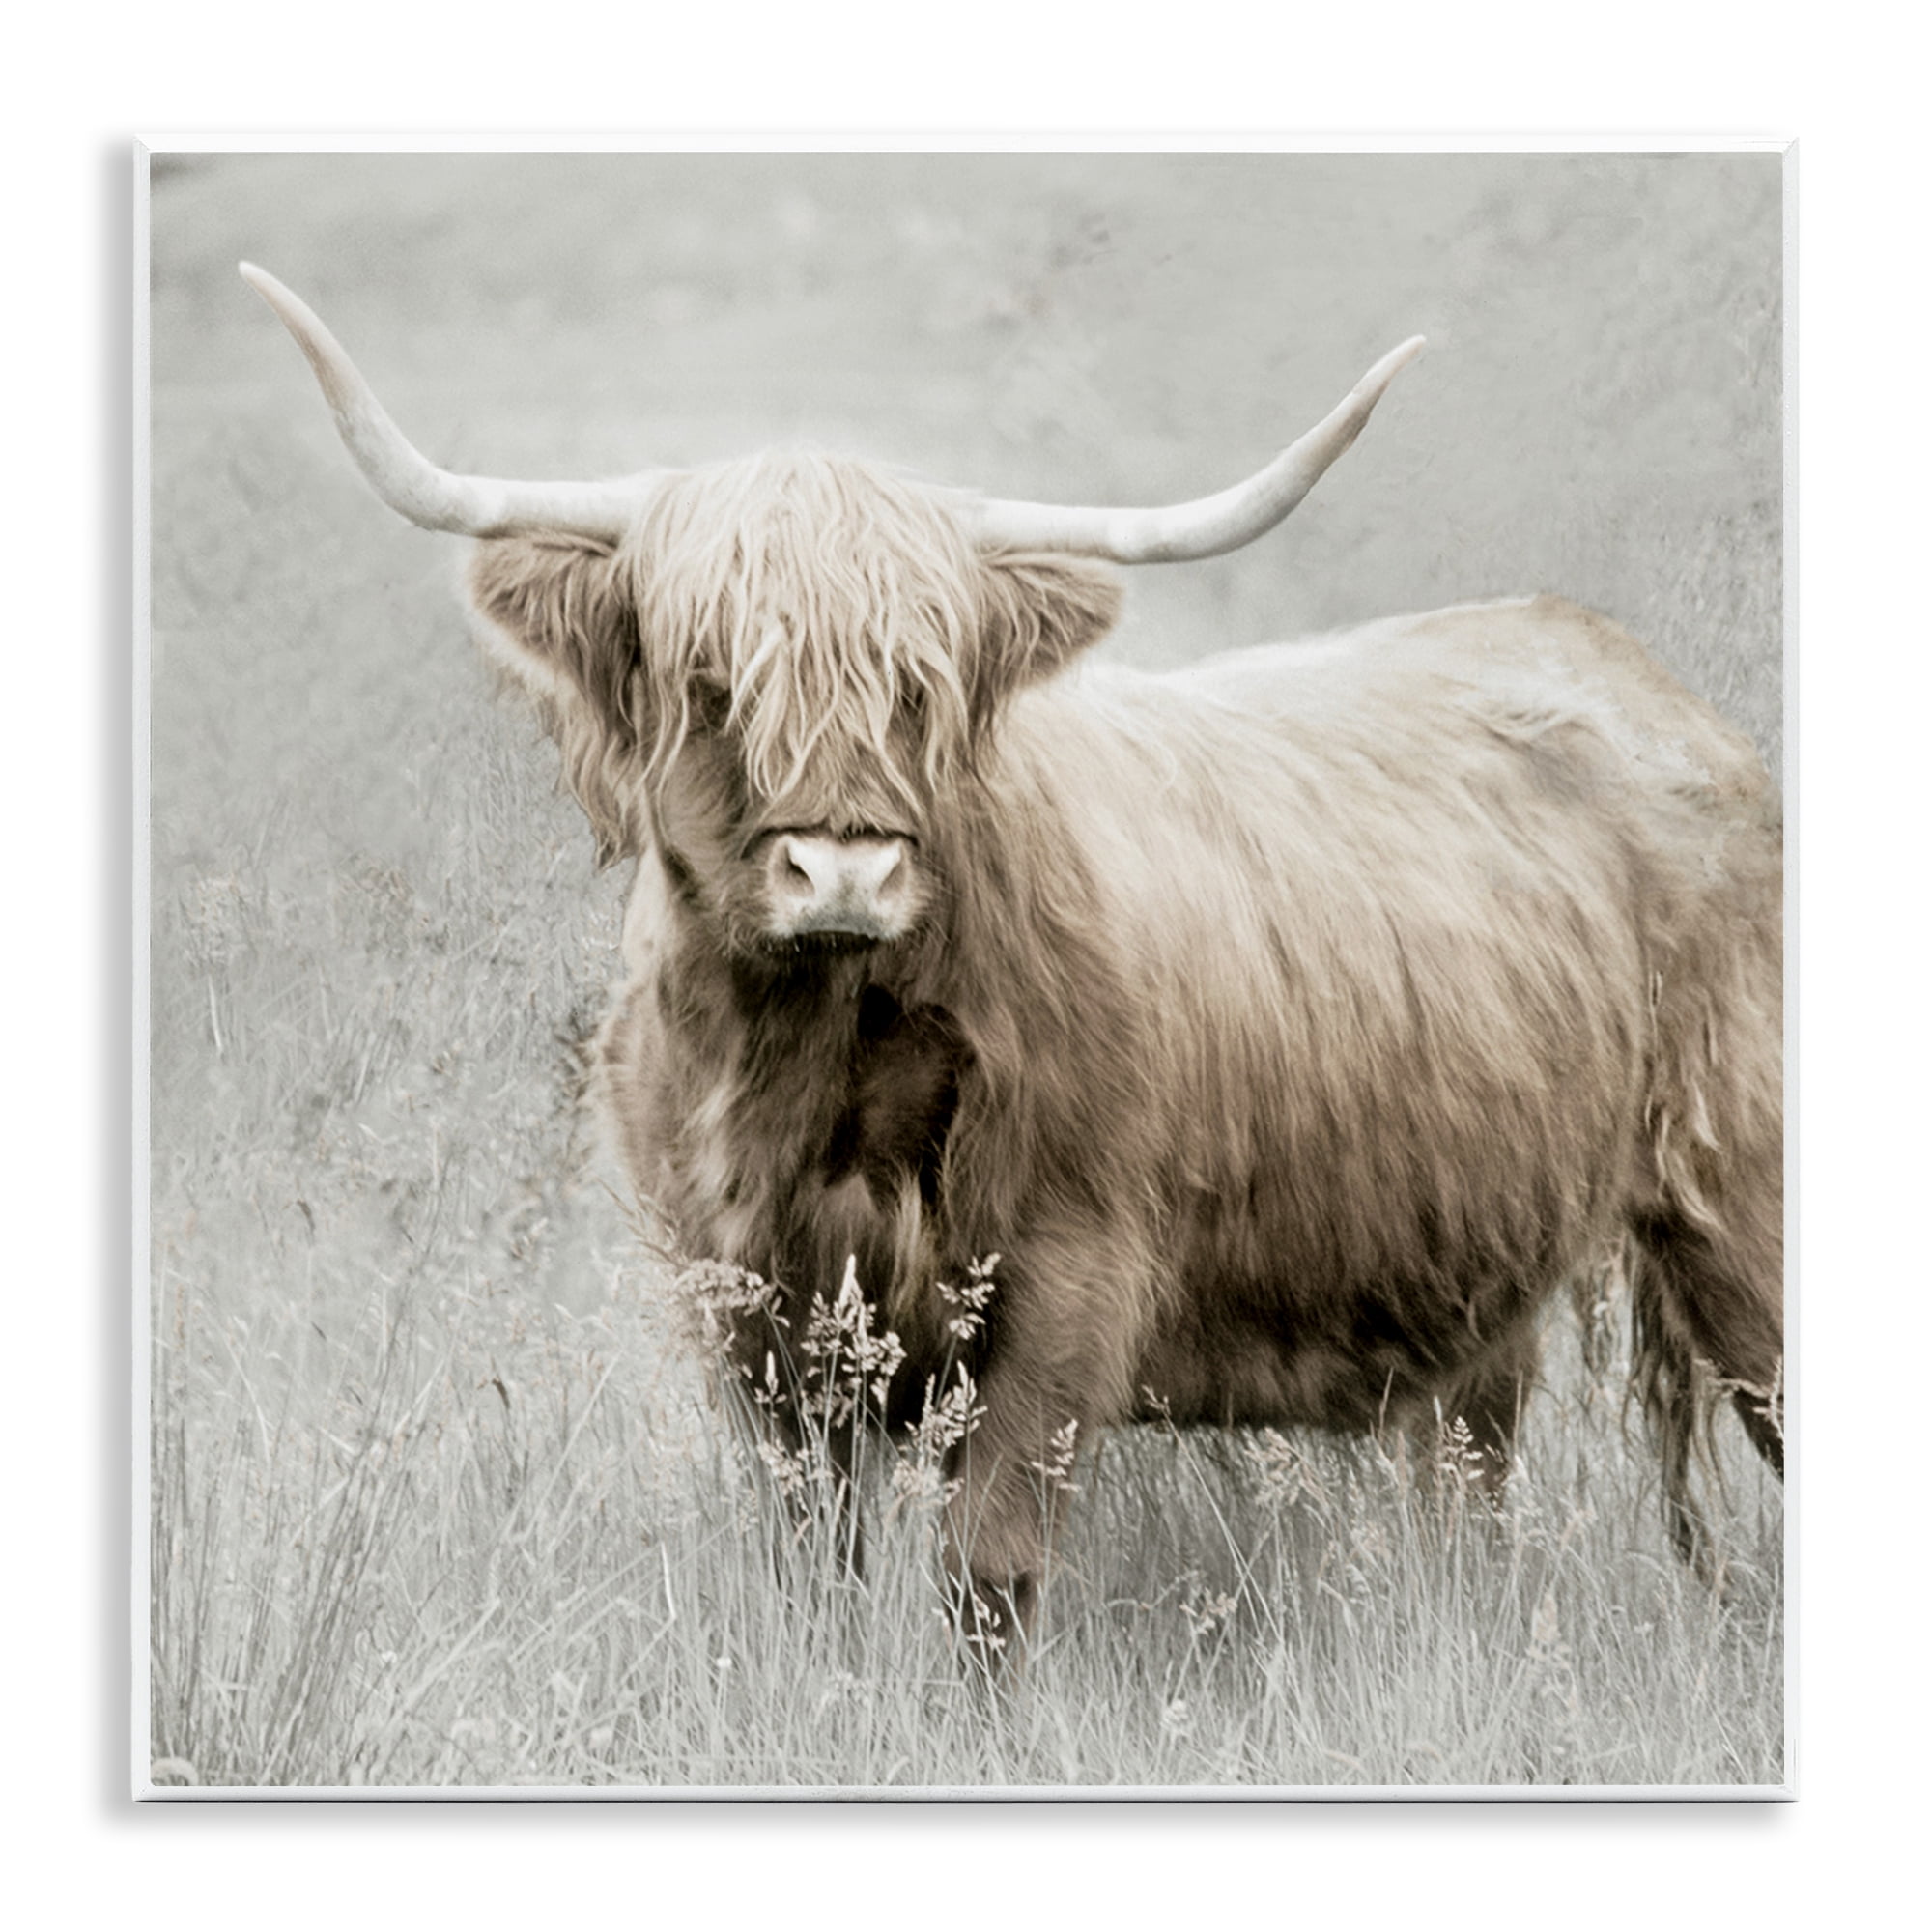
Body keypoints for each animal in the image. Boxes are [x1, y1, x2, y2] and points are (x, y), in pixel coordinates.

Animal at [242, 263, 1784, 1650]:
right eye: (712, 680)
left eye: (919, 687)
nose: (842, 871)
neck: (811, 1066)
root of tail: (1644, 683)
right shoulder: (745, 1314)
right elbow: (805, 1568)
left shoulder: (1065, 1284)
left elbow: (986, 1576)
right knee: (1471, 1476)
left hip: (1738, 1196)